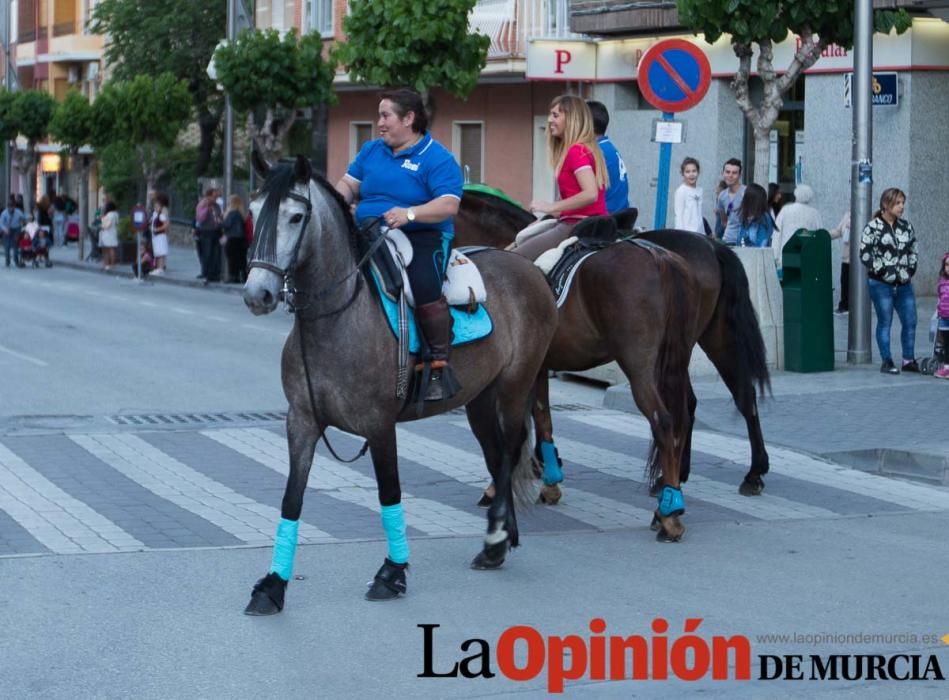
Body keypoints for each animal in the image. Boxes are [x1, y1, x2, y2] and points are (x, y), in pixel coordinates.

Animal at [241, 157, 560, 612]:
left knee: (510, 451)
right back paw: (498, 540)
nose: (259, 293)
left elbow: (389, 493)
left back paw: (497, 536)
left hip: (515, 387)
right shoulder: (301, 421)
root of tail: (530, 269)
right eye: (253, 213)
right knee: (498, 454)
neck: (339, 316)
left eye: (296, 216)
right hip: (480, 400)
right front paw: (272, 585)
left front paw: (391, 573)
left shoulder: (379, 426)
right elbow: (291, 498)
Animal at [456, 190, 772, 498]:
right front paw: (545, 466)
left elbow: (528, 415)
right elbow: (540, 411)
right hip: (706, 342)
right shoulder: (538, 364)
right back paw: (743, 473)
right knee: (735, 399)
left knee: (677, 411)